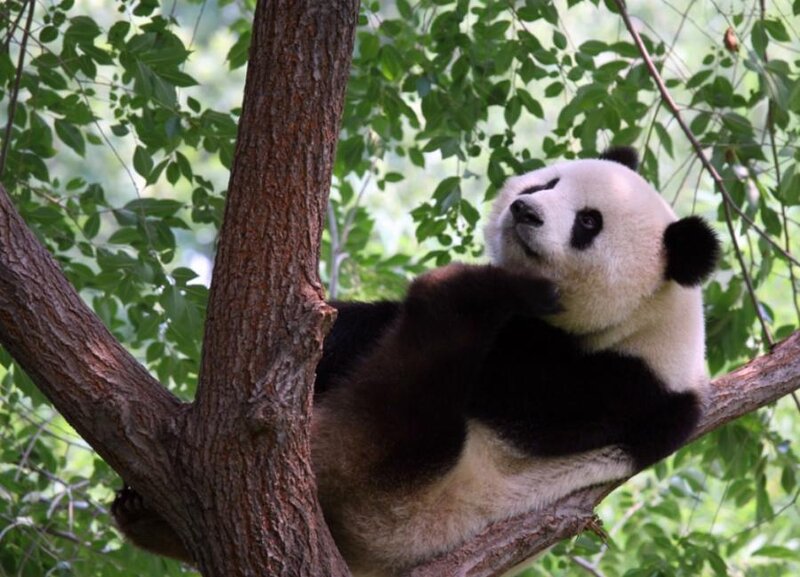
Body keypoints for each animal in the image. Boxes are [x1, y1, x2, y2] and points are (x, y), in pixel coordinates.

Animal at [112, 147, 719, 576]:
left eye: (589, 223)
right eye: (546, 183)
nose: (525, 210)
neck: (655, 320)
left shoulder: (611, 384)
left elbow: (507, 381)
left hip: (387, 487)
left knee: (427, 362)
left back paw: (464, 289)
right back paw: (145, 514)